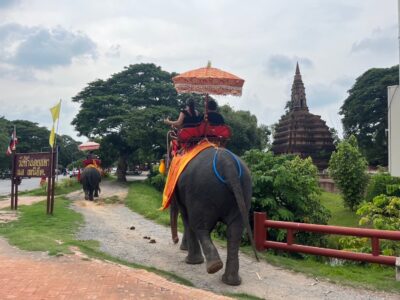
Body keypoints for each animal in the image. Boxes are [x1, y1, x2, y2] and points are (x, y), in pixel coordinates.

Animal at [168, 148, 256, 286]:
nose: (175, 241)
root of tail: (228, 165)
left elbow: (186, 218)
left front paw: (190, 260)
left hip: (201, 194)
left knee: (200, 227)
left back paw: (214, 266)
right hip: (245, 190)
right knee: (234, 231)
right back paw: (231, 281)